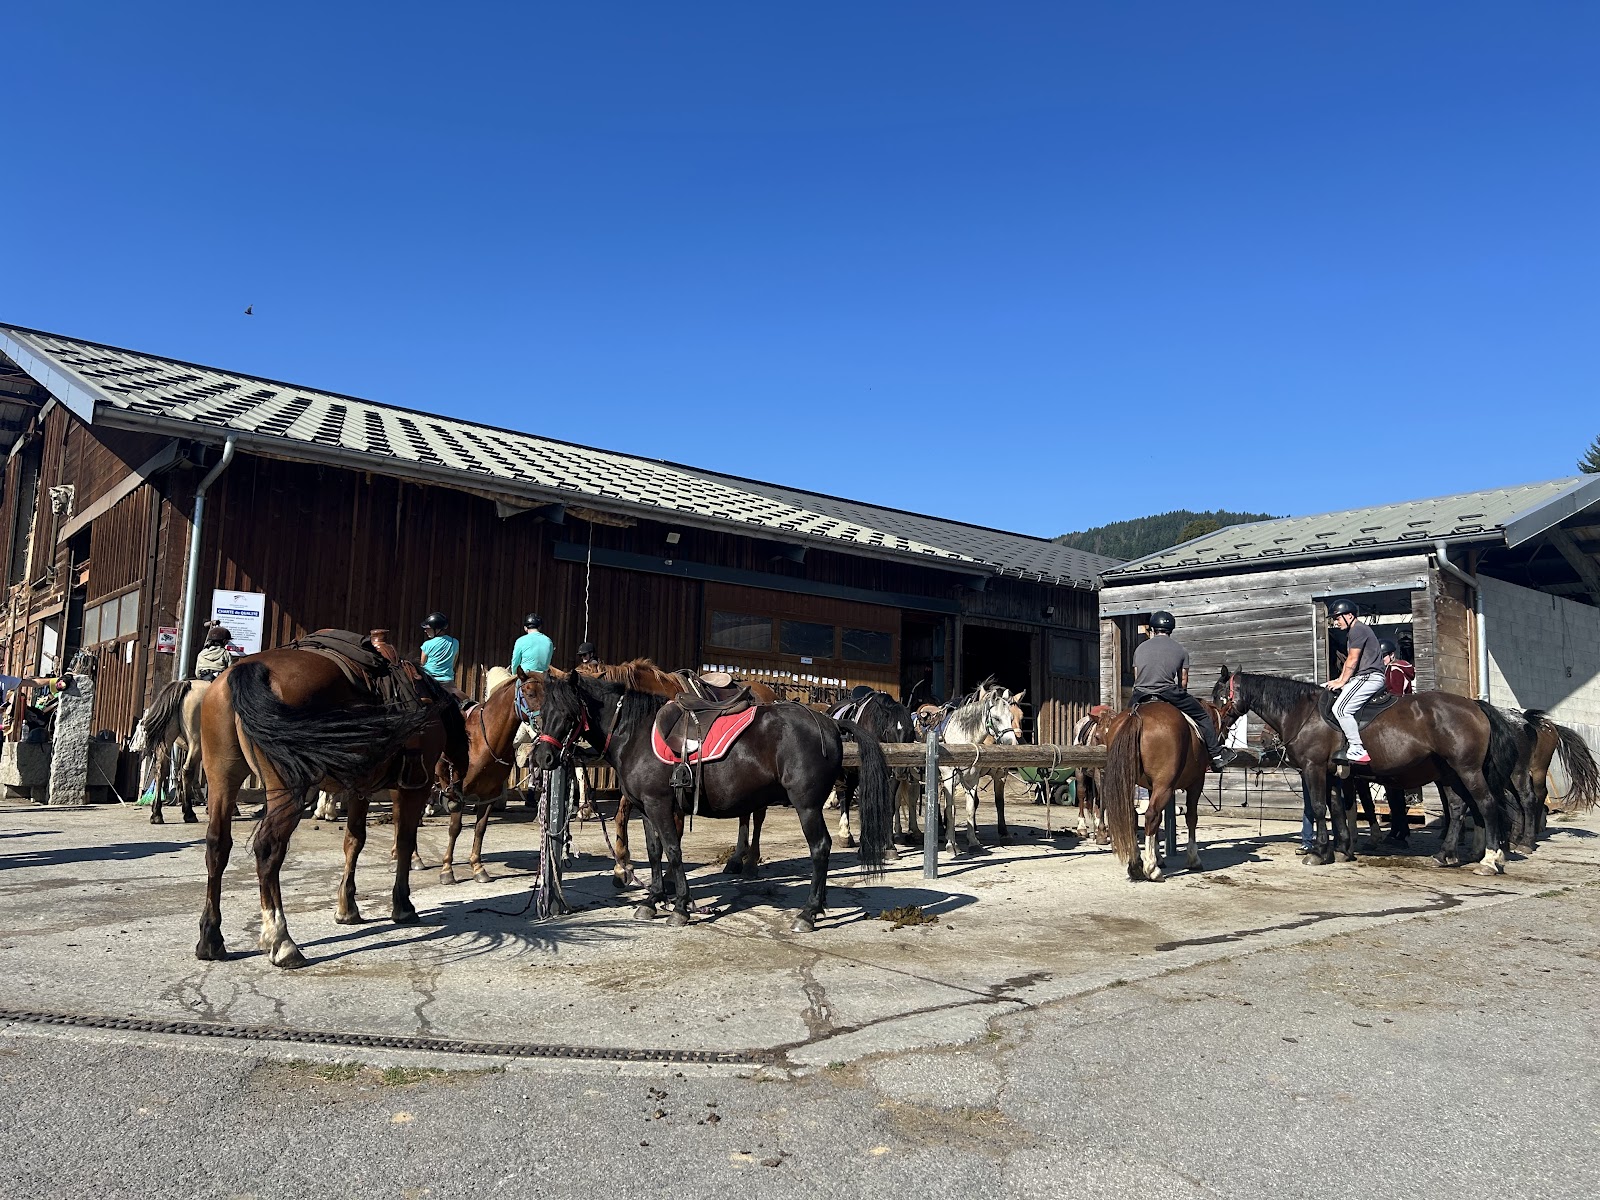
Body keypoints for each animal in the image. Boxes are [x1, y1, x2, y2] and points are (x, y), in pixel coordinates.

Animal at [131, 678, 210, 825]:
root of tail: (187, 684)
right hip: (197, 742)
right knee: (186, 771)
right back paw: (189, 813)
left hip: (167, 738)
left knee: (160, 770)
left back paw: (156, 814)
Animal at [194, 645, 469, 968]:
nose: (455, 797)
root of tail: (248, 669)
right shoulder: (412, 788)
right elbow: (404, 842)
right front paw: (403, 905)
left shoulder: (360, 789)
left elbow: (354, 841)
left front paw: (347, 907)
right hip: (287, 789)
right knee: (268, 849)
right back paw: (281, 940)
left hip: (221, 779)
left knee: (217, 846)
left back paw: (210, 939)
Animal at [532, 663, 893, 932]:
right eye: (542, 711)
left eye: (568, 713)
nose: (543, 758)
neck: (635, 734)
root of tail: (829, 722)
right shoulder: (646, 809)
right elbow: (654, 852)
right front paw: (651, 901)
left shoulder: (660, 805)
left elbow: (673, 851)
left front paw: (680, 907)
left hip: (806, 806)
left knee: (819, 848)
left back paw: (807, 912)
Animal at [1212, 667, 1521, 875]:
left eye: (1219, 695)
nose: (1217, 727)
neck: (1305, 714)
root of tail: (1474, 705)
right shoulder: (1332, 774)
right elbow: (1337, 808)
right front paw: (1338, 850)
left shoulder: (1314, 769)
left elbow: (1319, 807)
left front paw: (1319, 852)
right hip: (1449, 773)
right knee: (1458, 808)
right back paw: (1445, 855)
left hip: (1467, 770)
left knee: (1486, 804)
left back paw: (1489, 860)